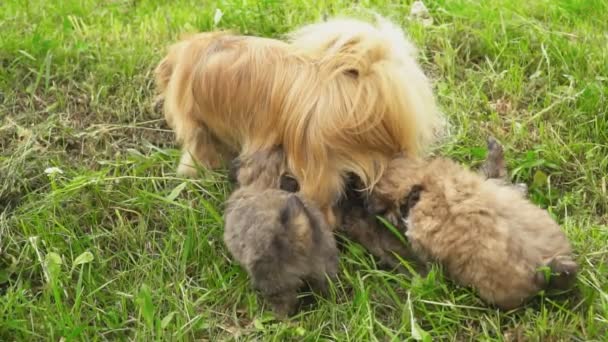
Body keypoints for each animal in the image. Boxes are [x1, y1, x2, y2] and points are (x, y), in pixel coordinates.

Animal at [154, 16, 444, 230]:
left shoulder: (195, 127)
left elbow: (196, 153)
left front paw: (190, 173)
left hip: (315, 171)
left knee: (325, 214)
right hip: (392, 164)